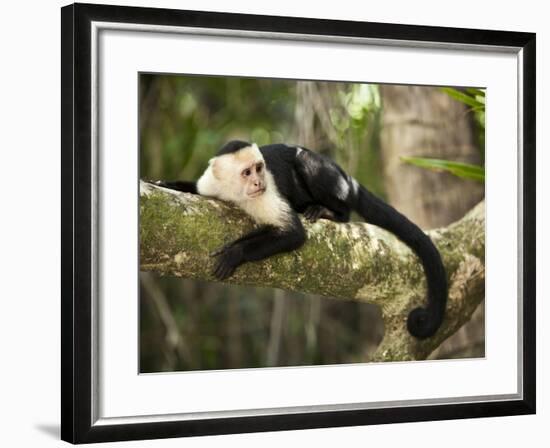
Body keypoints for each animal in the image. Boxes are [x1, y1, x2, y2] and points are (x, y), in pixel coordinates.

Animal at [157, 141, 450, 340]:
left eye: (259, 169)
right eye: (246, 173)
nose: (258, 183)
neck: (237, 194)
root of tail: (346, 176)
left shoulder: (266, 195)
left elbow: (293, 234)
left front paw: (235, 253)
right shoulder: (212, 185)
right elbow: (194, 190)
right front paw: (166, 183)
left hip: (334, 179)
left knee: (305, 160)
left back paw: (331, 212)